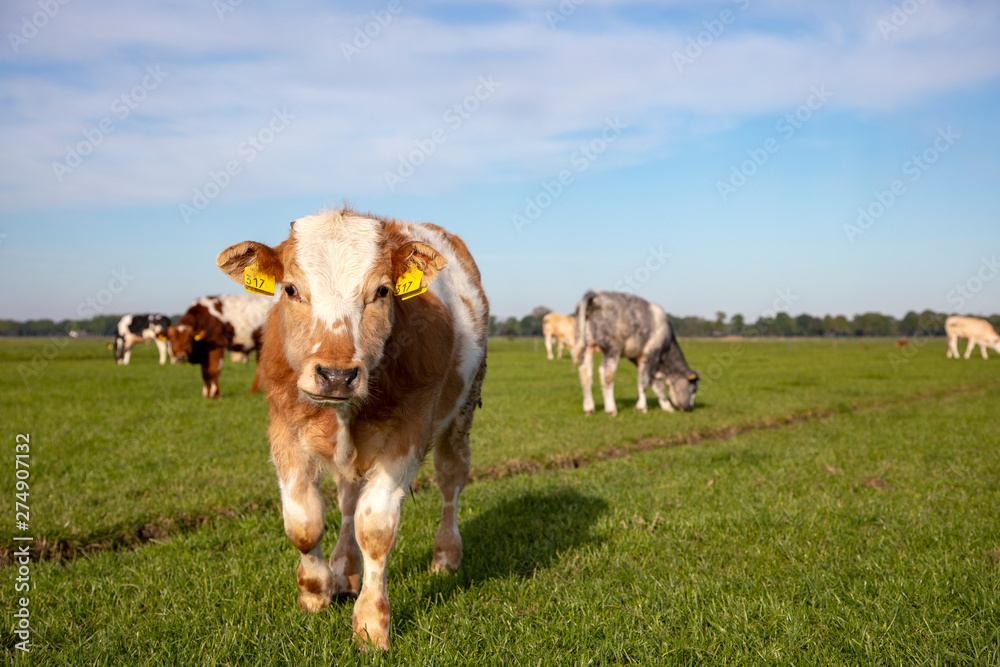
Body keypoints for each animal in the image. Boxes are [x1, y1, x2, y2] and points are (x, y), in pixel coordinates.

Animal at [215, 206, 488, 648]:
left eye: (382, 291)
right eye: (290, 289)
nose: (337, 376)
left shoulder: (406, 437)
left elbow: (374, 528)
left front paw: (372, 623)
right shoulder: (284, 433)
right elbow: (304, 523)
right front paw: (315, 593)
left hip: (461, 415)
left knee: (451, 481)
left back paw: (446, 556)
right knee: (346, 500)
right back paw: (344, 569)